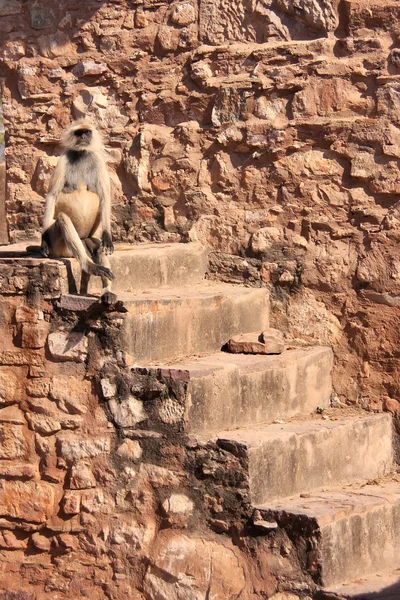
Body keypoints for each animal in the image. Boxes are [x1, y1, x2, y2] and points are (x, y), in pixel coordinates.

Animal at [29, 119, 117, 304]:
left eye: (86, 132)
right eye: (78, 133)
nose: (83, 137)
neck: (82, 154)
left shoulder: (97, 159)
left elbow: (105, 197)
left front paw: (107, 236)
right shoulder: (63, 159)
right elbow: (51, 196)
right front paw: (43, 240)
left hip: (86, 240)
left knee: (97, 246)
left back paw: (107, 292)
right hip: (60, 248)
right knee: (62, 218)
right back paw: (89, 266)